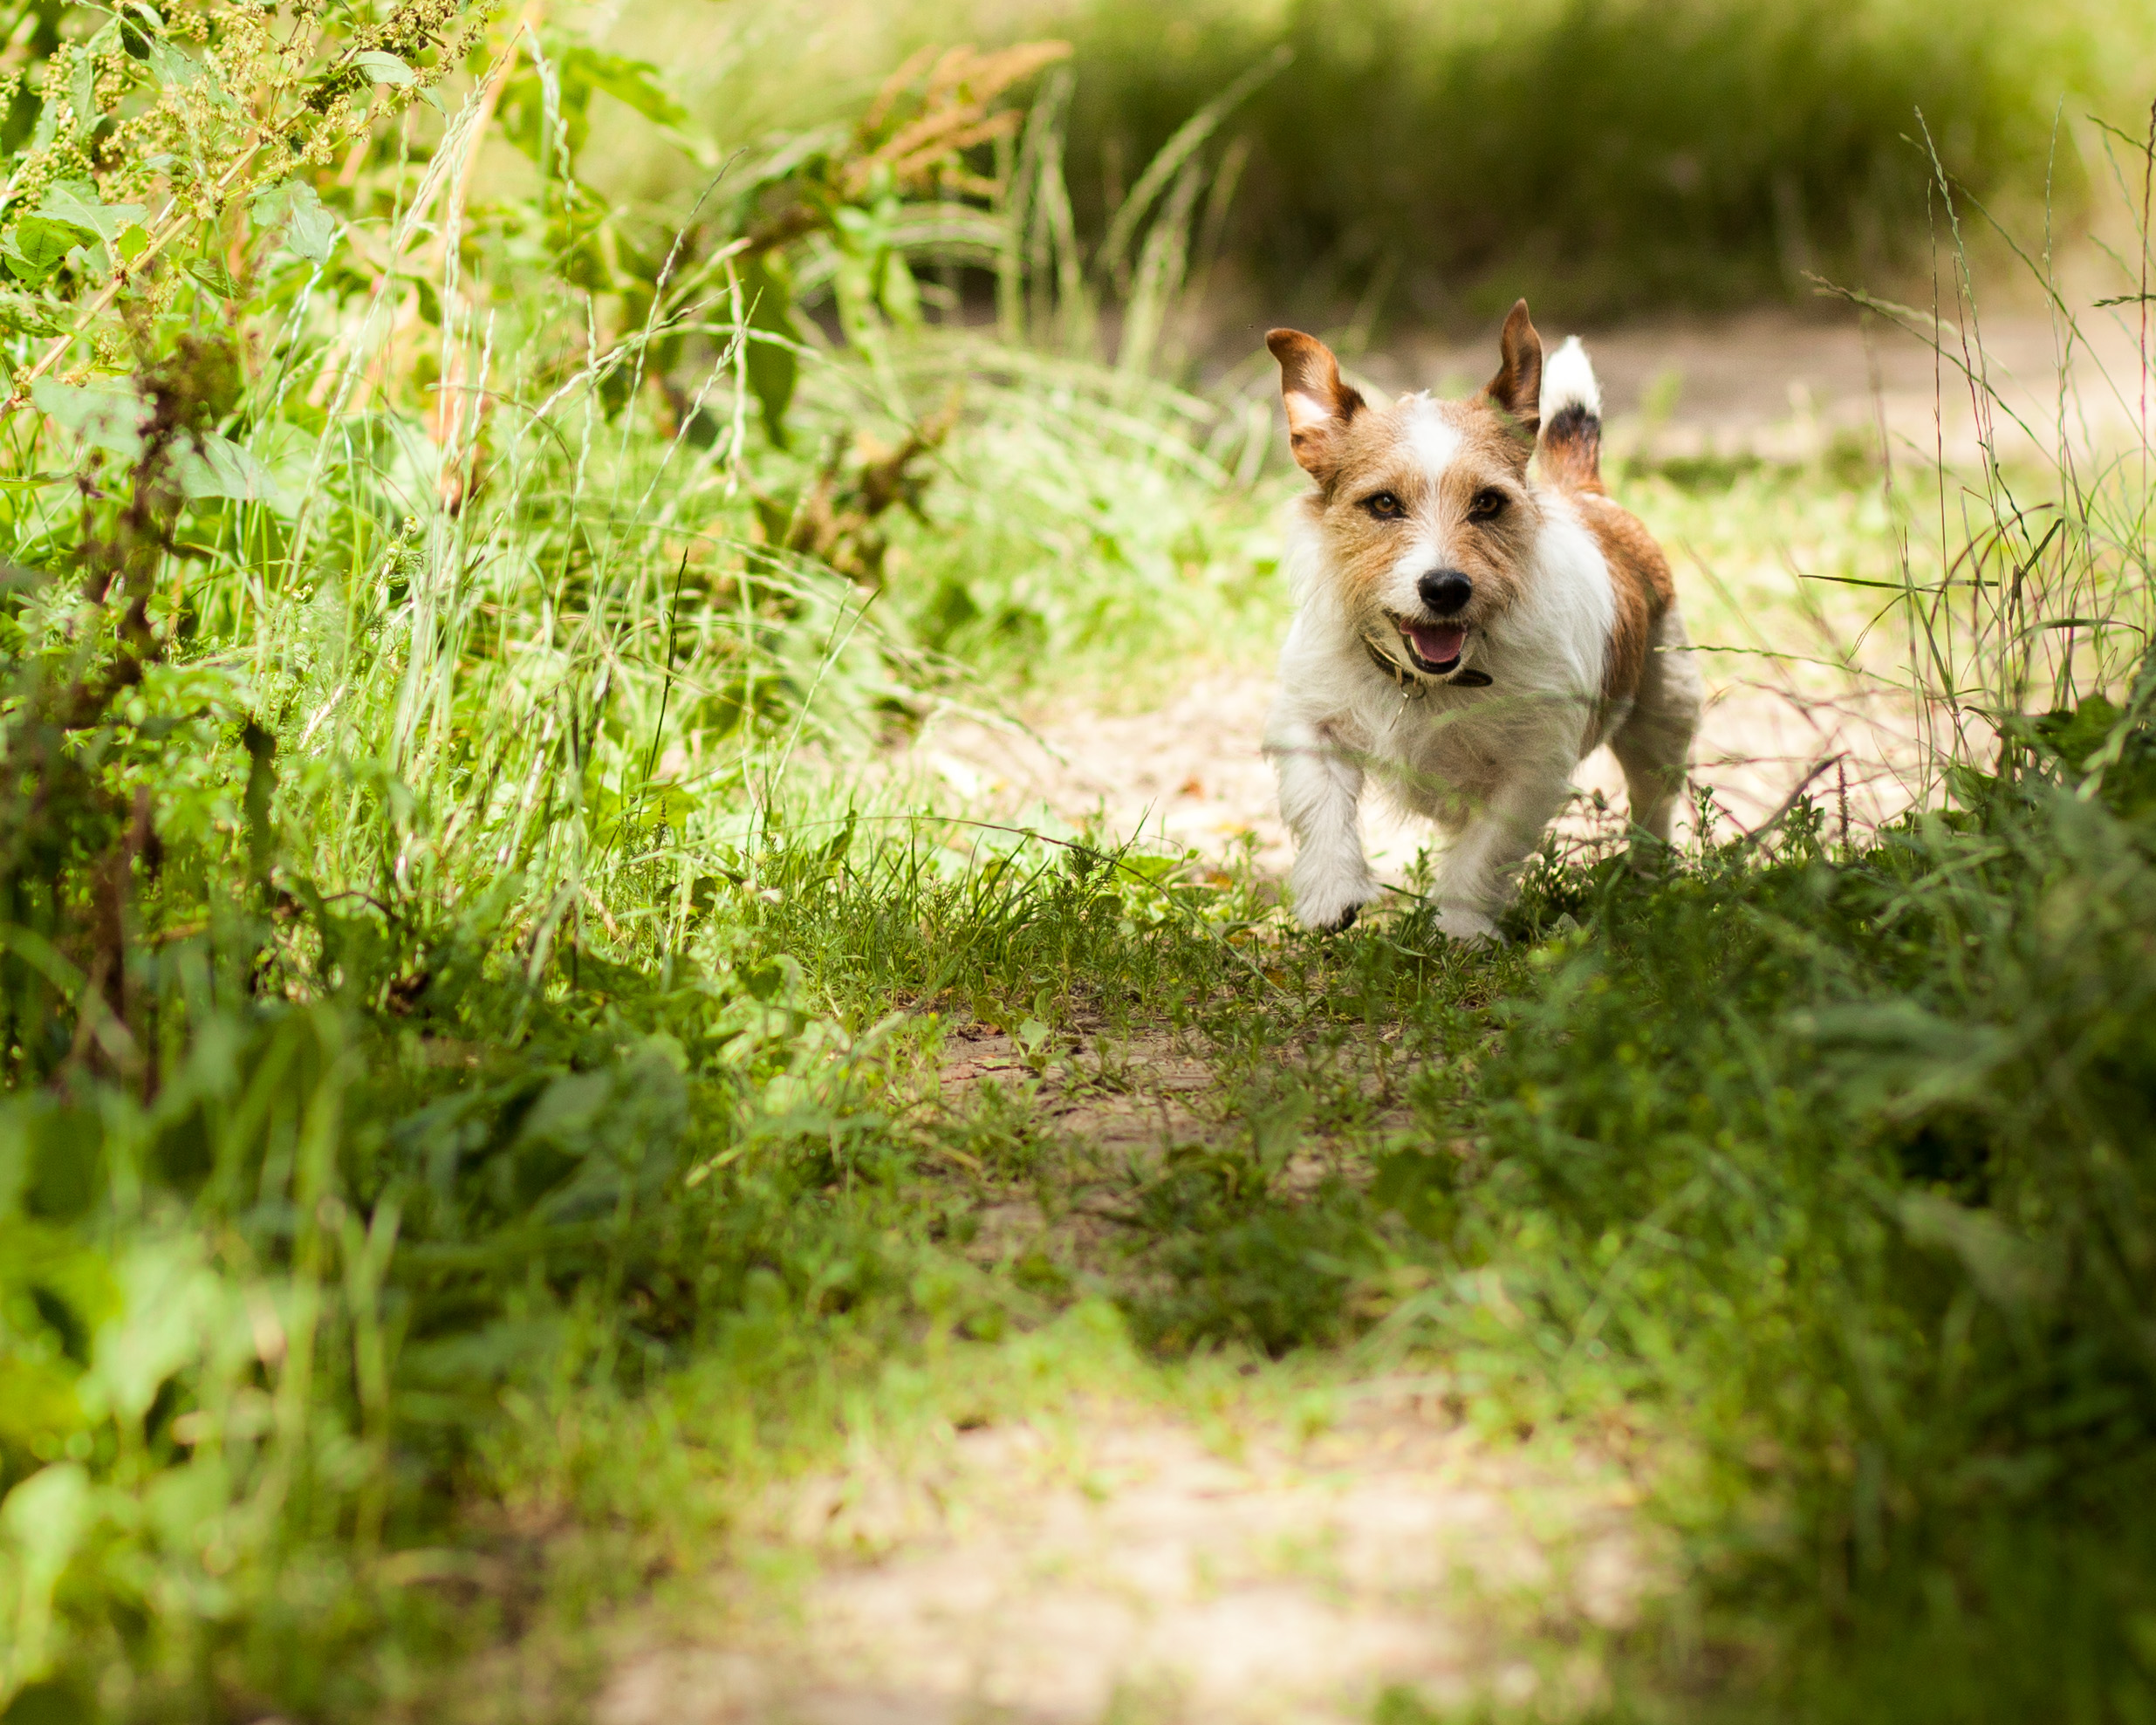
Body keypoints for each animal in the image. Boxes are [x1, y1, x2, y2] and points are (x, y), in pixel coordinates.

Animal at [1262, 300, 1700, 939]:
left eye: (1488, 503)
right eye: (1384, 504)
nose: (1445, 588)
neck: (1427, 683)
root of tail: (1588, 495)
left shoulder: (1530, 769)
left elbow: (1484, 851)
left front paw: (1461, 927)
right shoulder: (1307, 720)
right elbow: (1322, 808)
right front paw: (1330, 892)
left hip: (1664, 716)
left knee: (1653, 801)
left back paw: (1648, 876)